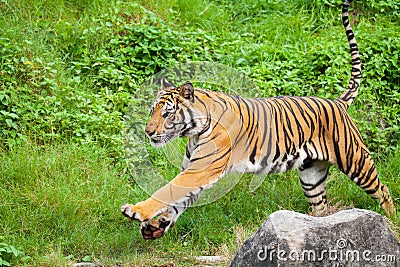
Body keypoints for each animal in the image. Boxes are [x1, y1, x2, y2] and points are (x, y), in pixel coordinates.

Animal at [119, 0, 394, 242]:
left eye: (166, 113)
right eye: (152, 111)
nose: (147, 132)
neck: (194, 130)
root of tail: (337, 102)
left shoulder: (201, 169)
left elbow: (167, 190)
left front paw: (137, 211)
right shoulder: (193, 170)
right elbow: (177, 200)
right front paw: (155, 226)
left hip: (356, 161)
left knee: (383, 190)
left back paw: (391, 220)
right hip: (312, 176)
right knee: (322, 207)